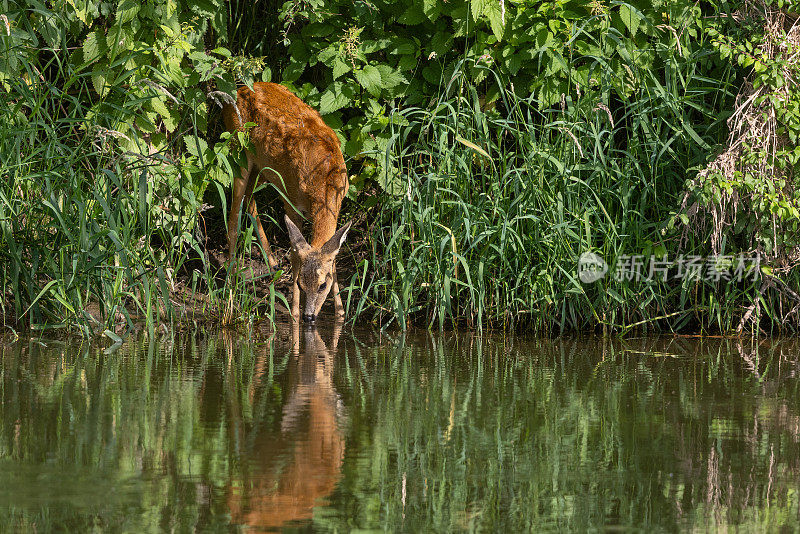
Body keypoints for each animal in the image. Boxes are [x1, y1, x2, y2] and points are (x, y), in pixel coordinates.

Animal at [223, 81, 352, 324]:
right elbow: (294, 253)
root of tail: (240, 90)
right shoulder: (291, 201)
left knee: (251, 200)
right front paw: (294, 313)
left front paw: (340, 313)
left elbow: (333, 257)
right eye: (301, 283)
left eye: (323, 284)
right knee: (234, 213)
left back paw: (272, 262)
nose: (310, 317)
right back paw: (231, 275)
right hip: (238, 151)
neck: (324, 182)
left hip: (261, 167)